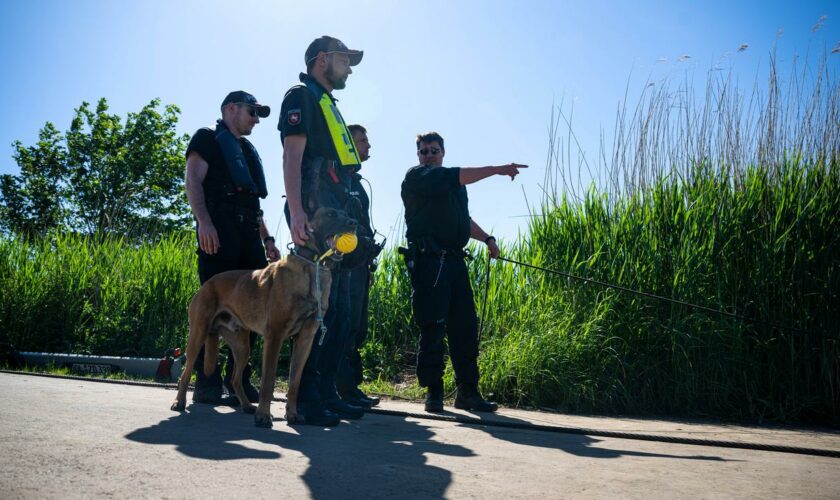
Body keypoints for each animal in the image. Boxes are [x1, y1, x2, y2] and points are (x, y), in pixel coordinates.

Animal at [169, 207, 356, 426]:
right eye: (331, 214)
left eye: (345, 213)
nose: (354, 223)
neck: (313, 266)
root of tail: (207, 284)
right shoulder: (274, 336)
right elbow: (268, 381)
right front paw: (263, 415)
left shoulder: (305, 340)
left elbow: (295, 382)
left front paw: (291, 414)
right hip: (197, 336)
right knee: (186, 372)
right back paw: (179, 402)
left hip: (242, 348)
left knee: (235, 378)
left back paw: (247, 406)